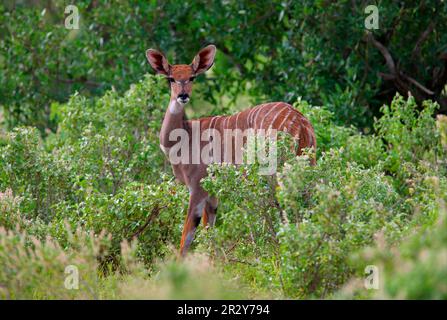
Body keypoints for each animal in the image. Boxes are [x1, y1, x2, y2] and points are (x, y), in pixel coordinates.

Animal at [146, 45, 316, 256]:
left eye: (192, 77)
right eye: (170, 78)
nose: (183, 96)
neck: (184, 137)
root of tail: (300, 122)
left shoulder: (197, 186)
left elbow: (187, 237)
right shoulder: (212, 194)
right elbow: (208, 230)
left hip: (278, 171)